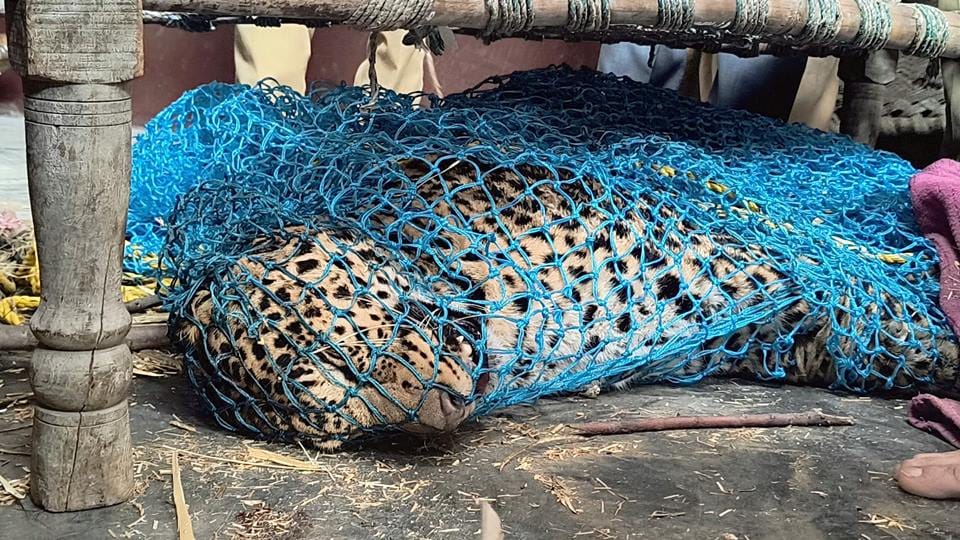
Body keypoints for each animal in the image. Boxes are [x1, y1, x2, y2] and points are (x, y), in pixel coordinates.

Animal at [175, 155, 960, 449]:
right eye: (338, 422)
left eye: (352, 353)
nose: (447, 415)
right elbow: (846, 342)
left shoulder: (724, 263)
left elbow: (879, 317)